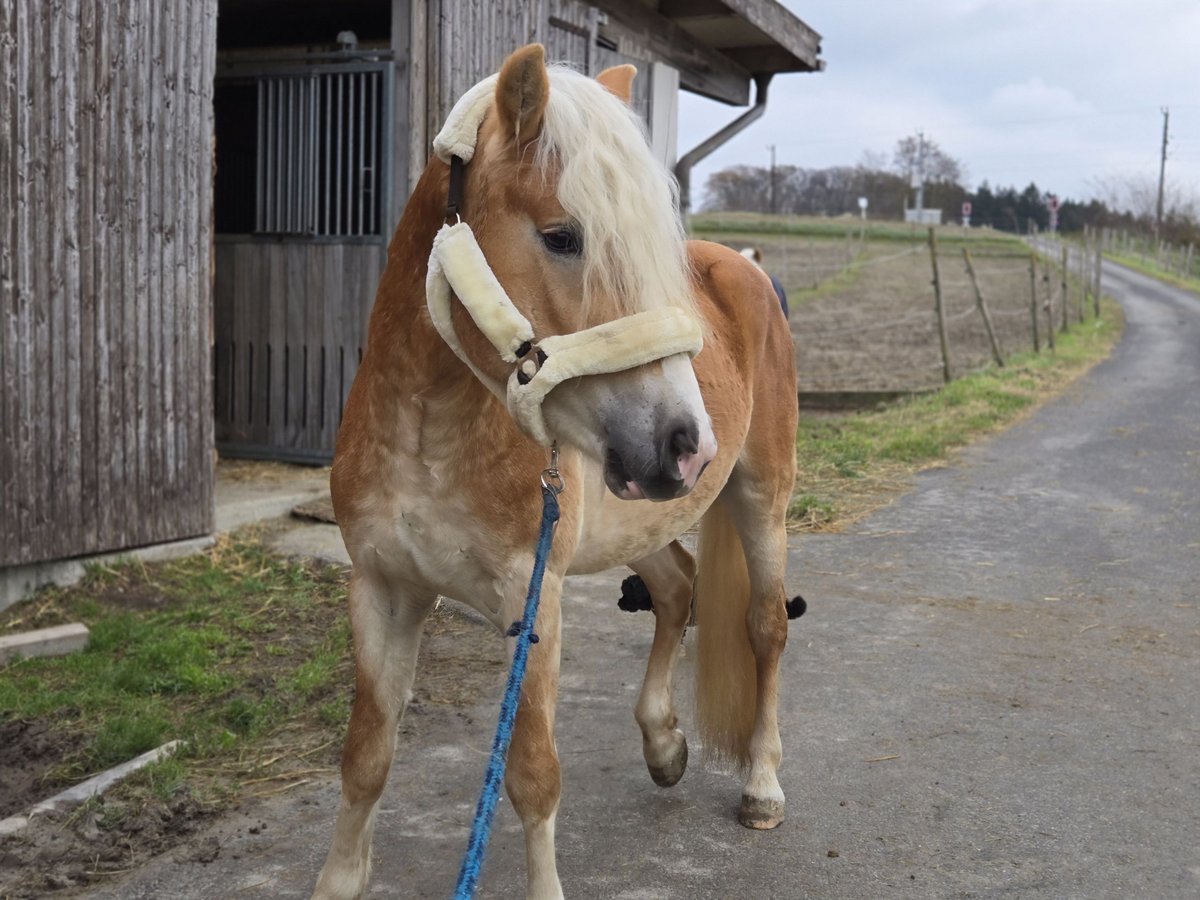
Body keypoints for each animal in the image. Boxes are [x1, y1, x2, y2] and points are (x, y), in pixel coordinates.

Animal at [312, 44, 796, 900]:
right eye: (562, 237)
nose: (686, 442)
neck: (428, 430)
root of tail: (749, 273)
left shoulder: (531, 601)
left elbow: (533, 775)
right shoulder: (381, 589)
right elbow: (366, 756)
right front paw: (341, 877)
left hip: (760, 495)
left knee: (765, 626)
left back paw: (762, 785)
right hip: (643, 514)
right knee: (677, 590)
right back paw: (663, 745)